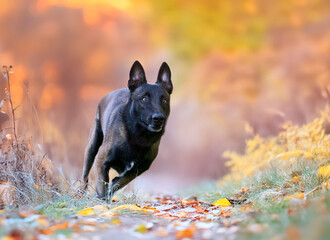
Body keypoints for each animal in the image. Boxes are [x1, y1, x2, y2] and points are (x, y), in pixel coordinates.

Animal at [82, 60, 173, 201]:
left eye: (164, 100)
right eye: (144, 99)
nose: (158, 118)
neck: (139, 134)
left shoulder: (138, 169)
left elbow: (120, 181)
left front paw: (112, 187)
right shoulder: (100, 161)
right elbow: (102, 187)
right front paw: (102, 202)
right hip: (91, 147)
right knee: (84, 177)